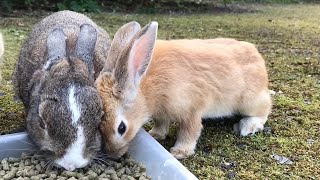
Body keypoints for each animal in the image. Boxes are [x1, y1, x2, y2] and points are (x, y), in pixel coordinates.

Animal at [96, 21, 272, 159]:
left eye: (121, 128)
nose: (113, 155)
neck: (145, 88)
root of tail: (257, 55)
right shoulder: (161, 113)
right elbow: (161, 123)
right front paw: (155, 134)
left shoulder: (191, 110)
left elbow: (189, 131)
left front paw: (179, 152)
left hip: (248, 101)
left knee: (265, 107)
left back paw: (248, 126)